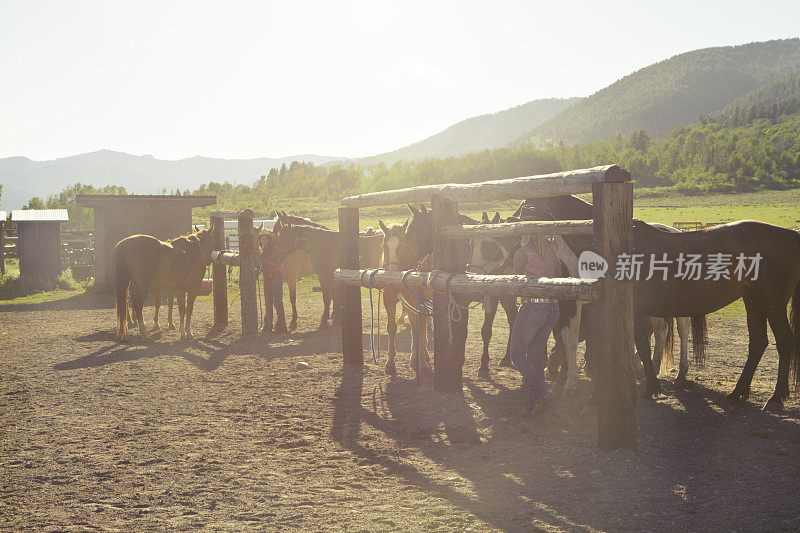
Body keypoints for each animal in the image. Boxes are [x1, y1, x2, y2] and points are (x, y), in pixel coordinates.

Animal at [520, 195, 800, 408]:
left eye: (525, 210)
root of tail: (790, 235)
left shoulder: (632, 311)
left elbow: (641, 344)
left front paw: (651, 386)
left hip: (771, 302)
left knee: (784, 342)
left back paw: (776, 397)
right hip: (753, 301)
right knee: (758, 343)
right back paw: (739, 392)